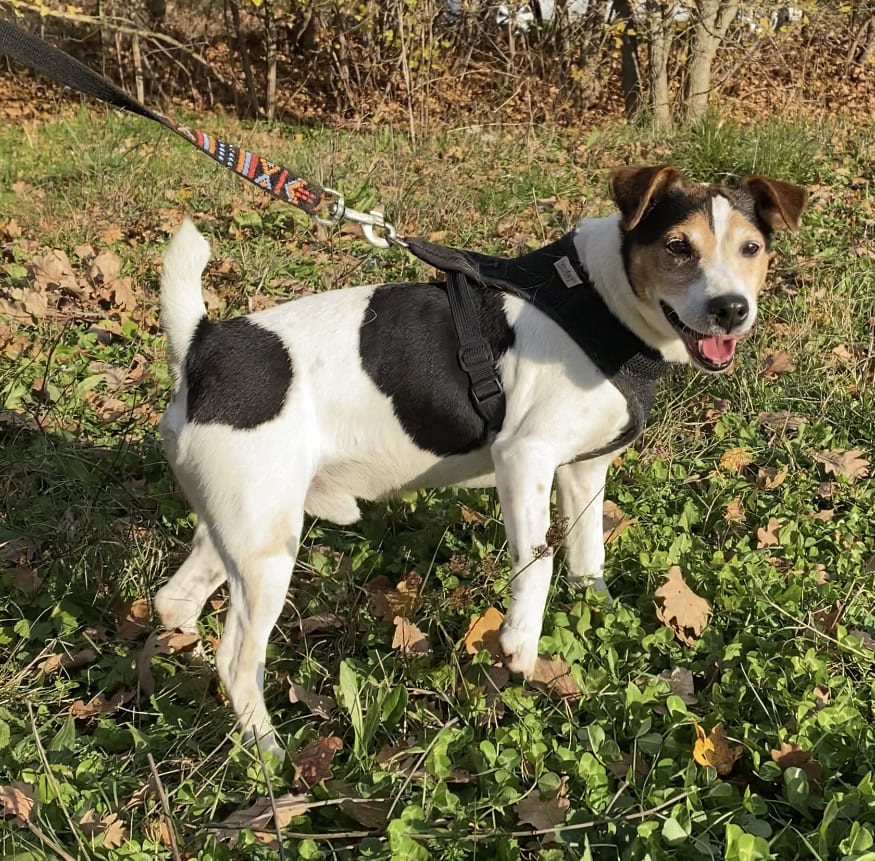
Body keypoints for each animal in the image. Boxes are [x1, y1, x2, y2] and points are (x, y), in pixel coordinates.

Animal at [152, 165, 808, 756]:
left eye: (751, 248)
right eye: (678, 246)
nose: (730, 308)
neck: (601, 301)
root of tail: (204, 346)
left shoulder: (582, 471)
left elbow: (586, 556)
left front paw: (595, 610)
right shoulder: (524, 457)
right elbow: (539, 562)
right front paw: (520, 643)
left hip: (246, 531)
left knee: (175, 602)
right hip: (266, 554)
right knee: (236, 660)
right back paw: (266, 753)